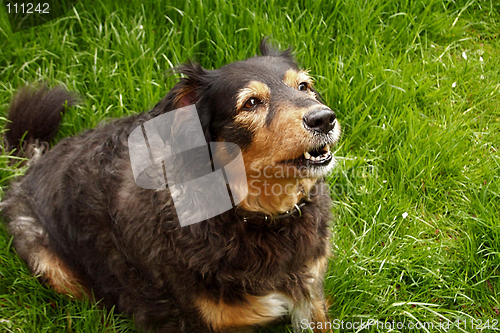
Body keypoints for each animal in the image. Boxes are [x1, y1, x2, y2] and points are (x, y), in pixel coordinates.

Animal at [0, 40, 340, 330]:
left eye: (304, 86)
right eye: (251, 103)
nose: (324, 119)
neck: (254, 217)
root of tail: (30, 166)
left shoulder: (310, 293)